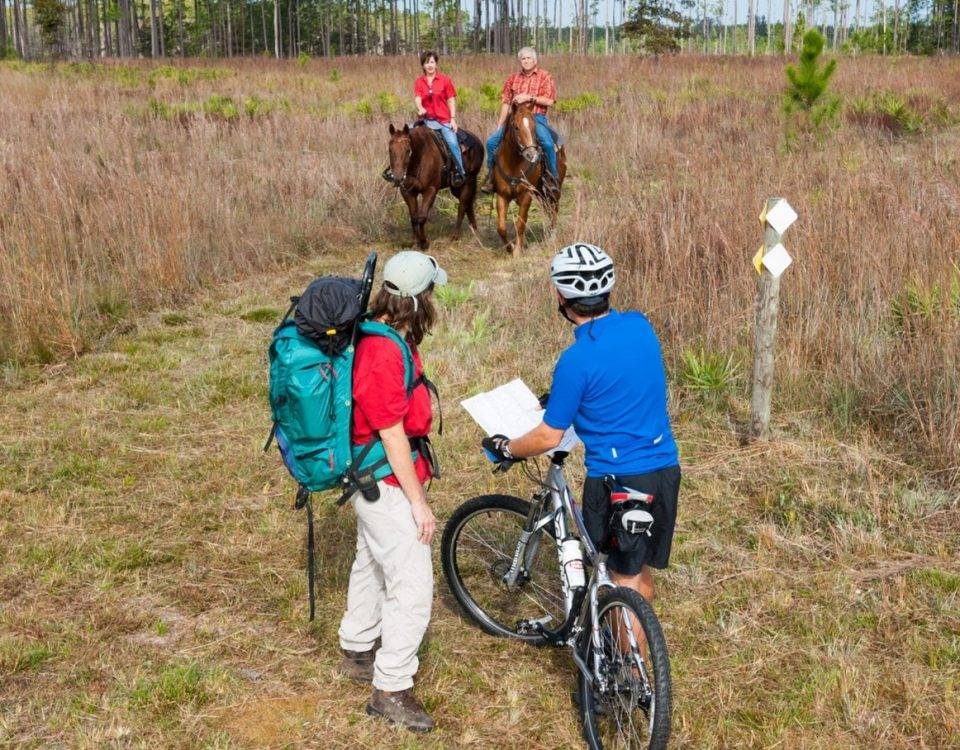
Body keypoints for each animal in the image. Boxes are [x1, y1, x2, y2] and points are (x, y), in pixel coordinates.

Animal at [384, 123, 484, 251]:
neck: (421, 157)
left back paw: (455, 236)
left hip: (469, 181)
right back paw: (474, 229)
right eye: (390, 150)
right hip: (456, 187)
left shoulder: (430, 190)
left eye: (407, 150)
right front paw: (415, 242)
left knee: (462, 207)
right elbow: (413, 217)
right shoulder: (407, 192)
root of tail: (476, 140)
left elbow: (421, 217)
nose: (398, 178)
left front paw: (423, 243)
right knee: (468, 204)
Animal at [492, 103, 568, 256]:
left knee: (554, 209)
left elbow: (521, 224)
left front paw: (517, 251)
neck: (513, 163)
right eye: (516, 127)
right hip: (540, 192)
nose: (532, 155)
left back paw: (552, 237)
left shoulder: (526, 195)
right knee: (548, 209)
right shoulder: (502, 195)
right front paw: (510, 247)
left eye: (534, 127)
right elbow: (501, 228)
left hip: (553, 191)